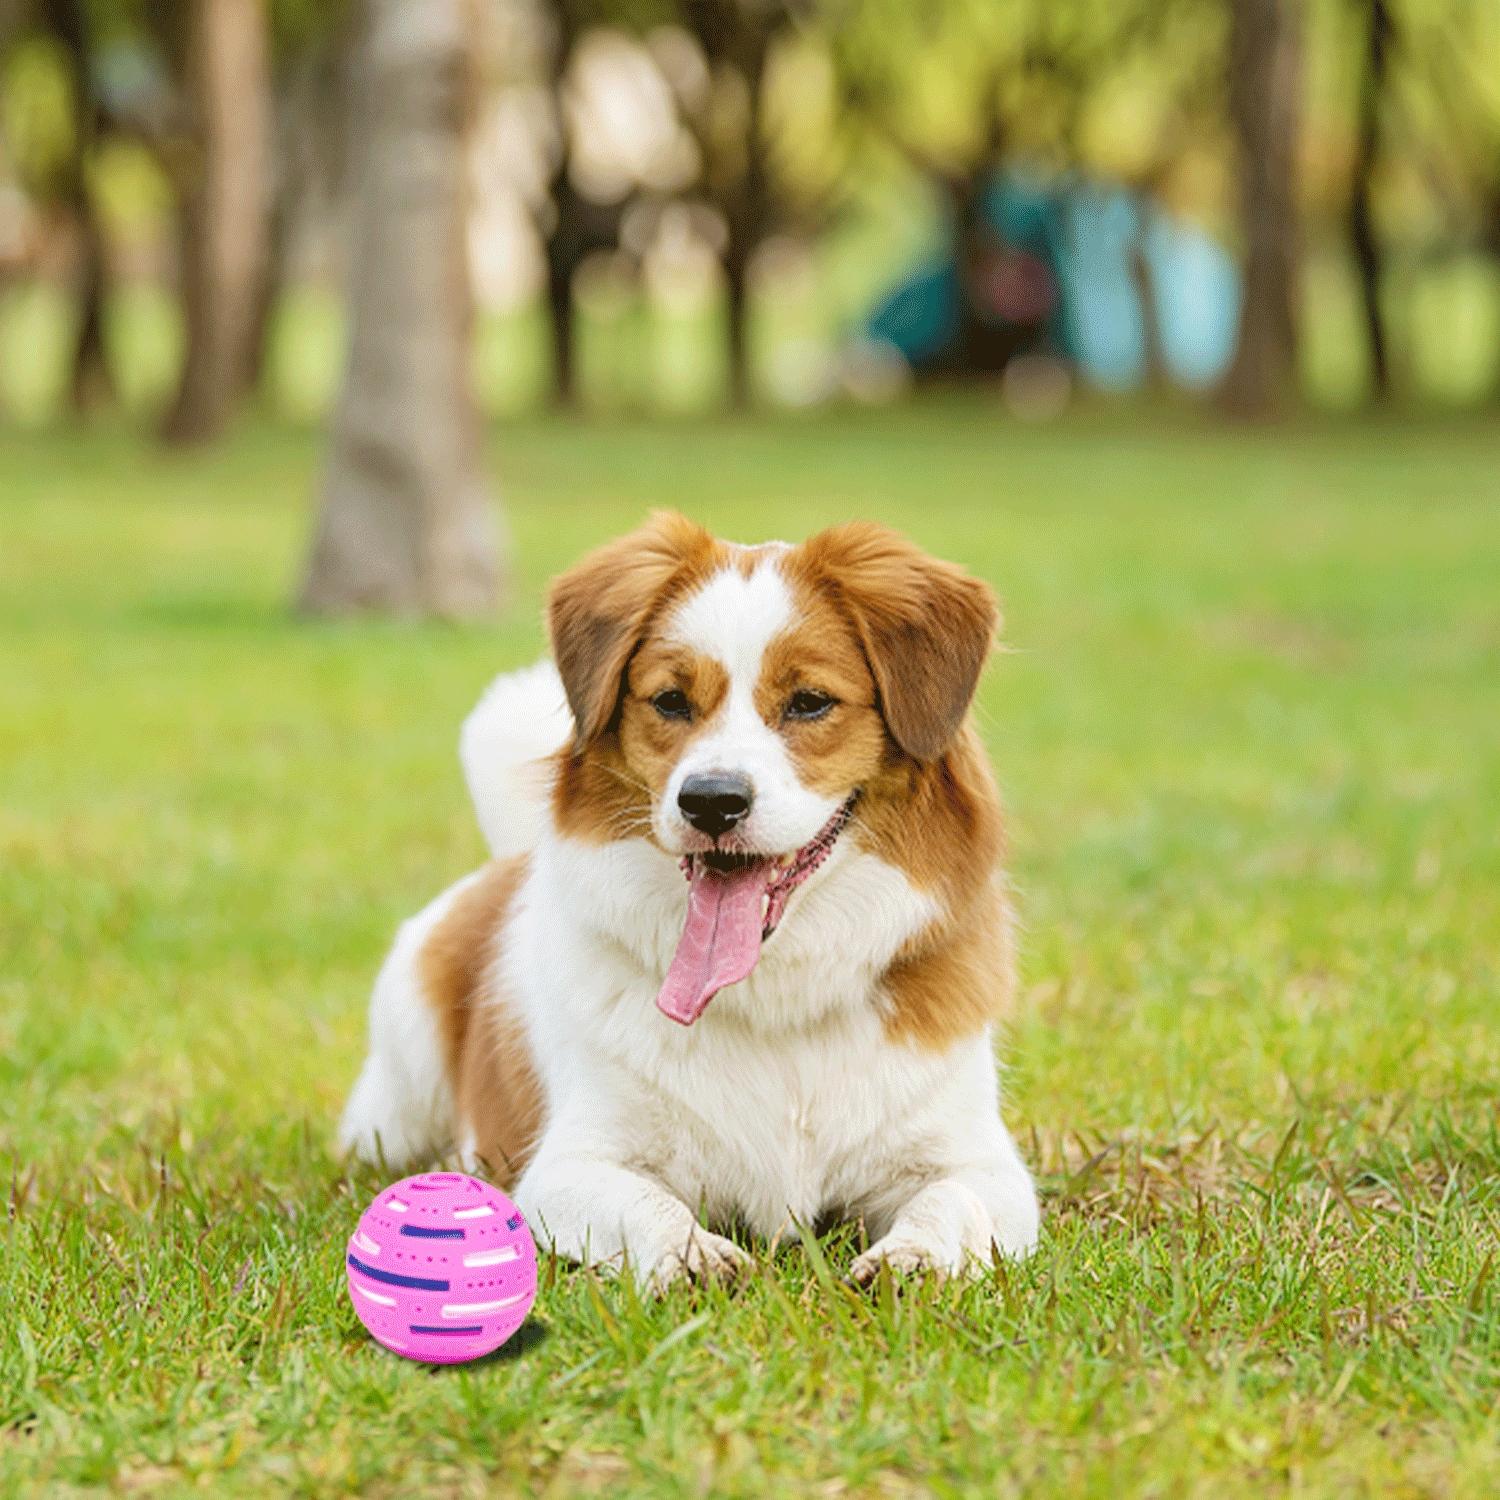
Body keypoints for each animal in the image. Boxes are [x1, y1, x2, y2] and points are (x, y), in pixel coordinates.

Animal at [342, 510, 1044, 1284]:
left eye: (810, 703)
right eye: (671, 702)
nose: (711, 800)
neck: (774, 999)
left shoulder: (986, 1168)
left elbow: (953, 1203)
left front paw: (912, 1260)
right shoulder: (567, 1168)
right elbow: (649, 1204)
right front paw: (691, 1255)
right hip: (396, 1098)